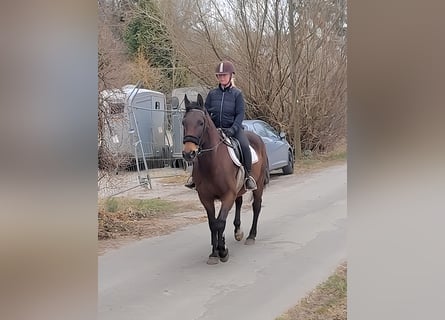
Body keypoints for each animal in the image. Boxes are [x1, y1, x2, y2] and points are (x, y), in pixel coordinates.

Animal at [181, 94, 270, 264]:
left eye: (201, 122)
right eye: (183, 122)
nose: (189, 153)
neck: (212, 163)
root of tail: (257, 137)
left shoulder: (227, 195)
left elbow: (220, 222)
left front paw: (222, 251)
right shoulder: (206, 198)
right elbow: (213, 223)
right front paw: (214, 252)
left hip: (259, 185)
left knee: (256, 206)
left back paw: (251, 236)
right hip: (239, 189)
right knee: (239, 203)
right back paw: (238, 231)